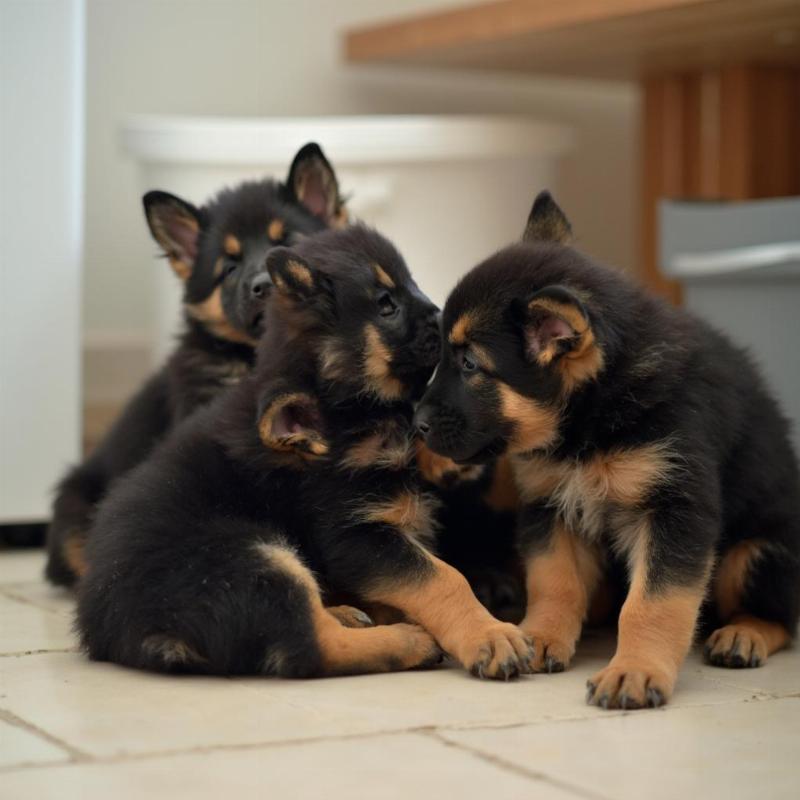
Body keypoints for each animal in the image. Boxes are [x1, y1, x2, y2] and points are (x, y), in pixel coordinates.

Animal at [78, 225, 536, 680]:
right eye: (386, 306)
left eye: (412, 282)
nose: (446, 322)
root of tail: (121, 629)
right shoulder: (354, 535)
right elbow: (443, 578)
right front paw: (490, 635)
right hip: (253, 558)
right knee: (310, 646)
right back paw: (407, 640)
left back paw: (349, 613)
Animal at [416, 192, 796, 708]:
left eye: (471, 363)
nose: (416, 425)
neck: (592, 417)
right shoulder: (551, 506)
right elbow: (554, 582)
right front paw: (540, 636)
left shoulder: (676, 510)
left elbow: (653, 603)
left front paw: (635, 670)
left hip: (754, 553)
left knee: (781, 617)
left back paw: (744, 634)